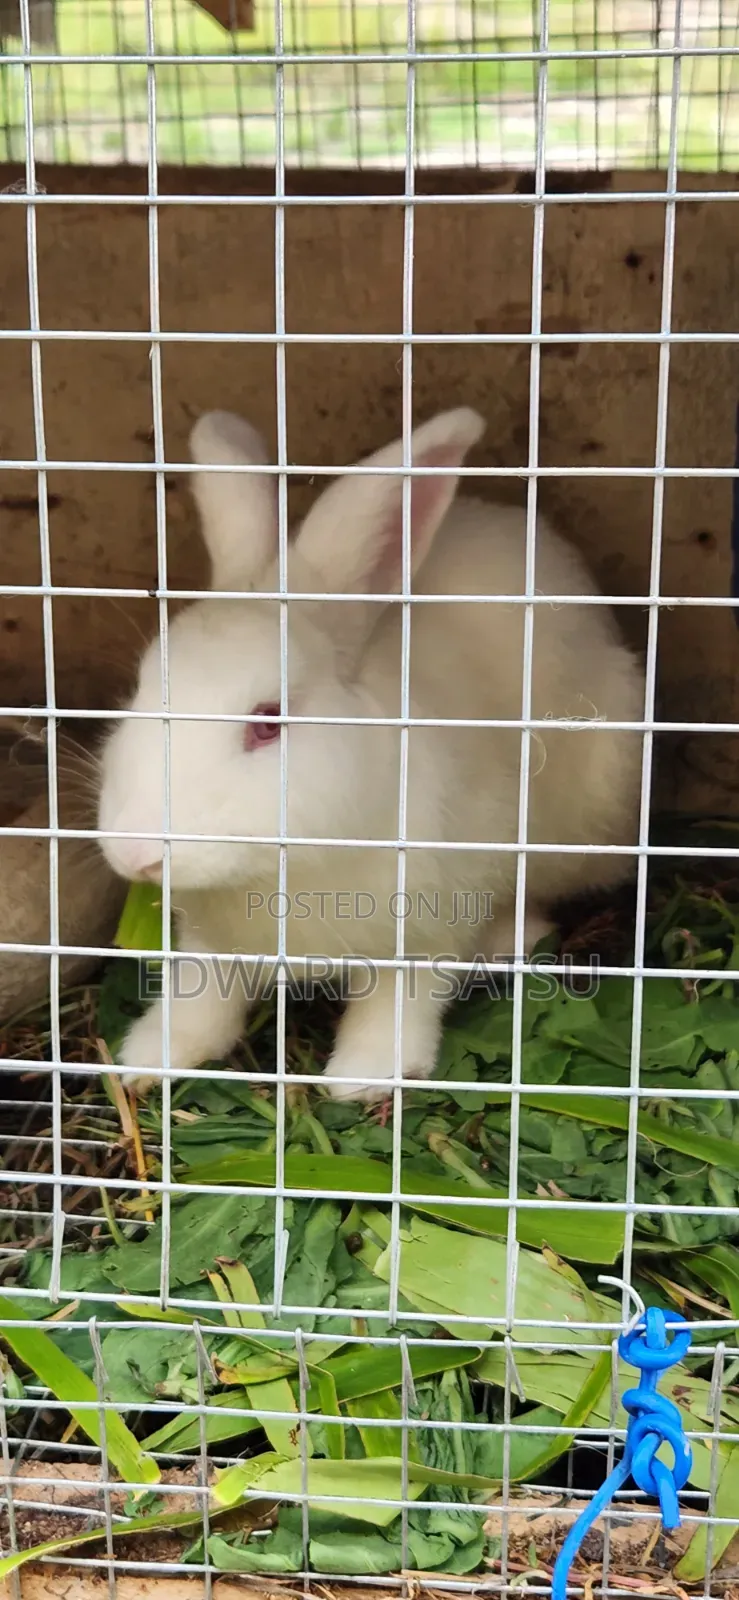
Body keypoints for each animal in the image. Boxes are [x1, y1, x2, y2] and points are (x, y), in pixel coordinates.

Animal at [96, 405, 645, 1103]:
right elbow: (199, 997)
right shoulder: (209, 938)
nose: (134, 854)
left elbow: (400, 1000)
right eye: (142, 689)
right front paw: (146, 1058)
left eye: (268, 722)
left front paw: (363, 1076)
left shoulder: (429, 923)